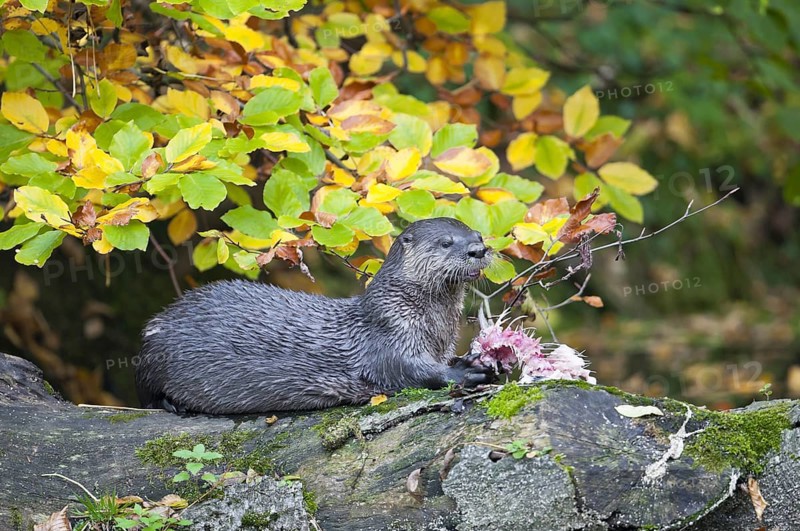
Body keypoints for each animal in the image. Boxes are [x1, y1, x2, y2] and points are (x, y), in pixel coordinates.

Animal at [135, 217, 494, 414]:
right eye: (446, 242)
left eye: (479, 236)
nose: (478, 250)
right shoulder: (390, 332)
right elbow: (408, 369)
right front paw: (465, 372)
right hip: (155, 355)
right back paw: (174, 405)